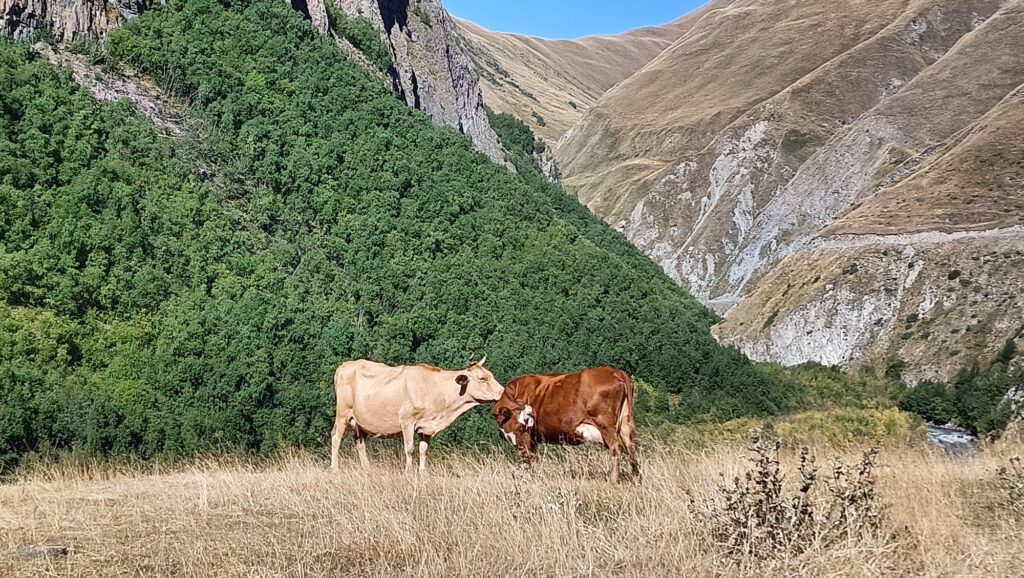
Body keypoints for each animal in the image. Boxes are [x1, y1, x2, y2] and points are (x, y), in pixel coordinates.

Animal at [329, 356, 501, 473]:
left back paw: (367, 469)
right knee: (336, 438)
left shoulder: (427, 426)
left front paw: (422, 473)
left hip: (361, 422)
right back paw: (335, 468)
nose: (501, 391)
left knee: (360, 443)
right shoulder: (407, 421)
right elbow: (410, 449)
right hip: (342, 414)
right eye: (482, 378)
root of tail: (345, 365)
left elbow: (423, 450)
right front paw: (408, 472)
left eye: (491, 375)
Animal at [489, 364, 638, 483]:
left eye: (522, 426)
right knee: (630, 447)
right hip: (624, 424)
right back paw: (637, 477)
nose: (524, 450)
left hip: (605, 425)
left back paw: (613, 480)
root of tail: (615, 371)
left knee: (616, 448)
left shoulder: (530, 440)